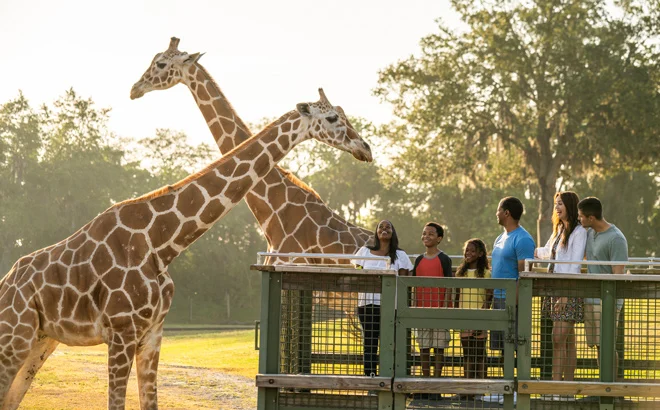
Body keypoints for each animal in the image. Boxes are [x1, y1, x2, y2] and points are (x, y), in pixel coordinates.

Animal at [0, 90, 372, 410]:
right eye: (334, 118)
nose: (365, 149)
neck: (162, 243)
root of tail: (6, 284)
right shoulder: (121, 333)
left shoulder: (152, 333)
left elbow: (150, 402)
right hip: (13, 336)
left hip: (40, 340)